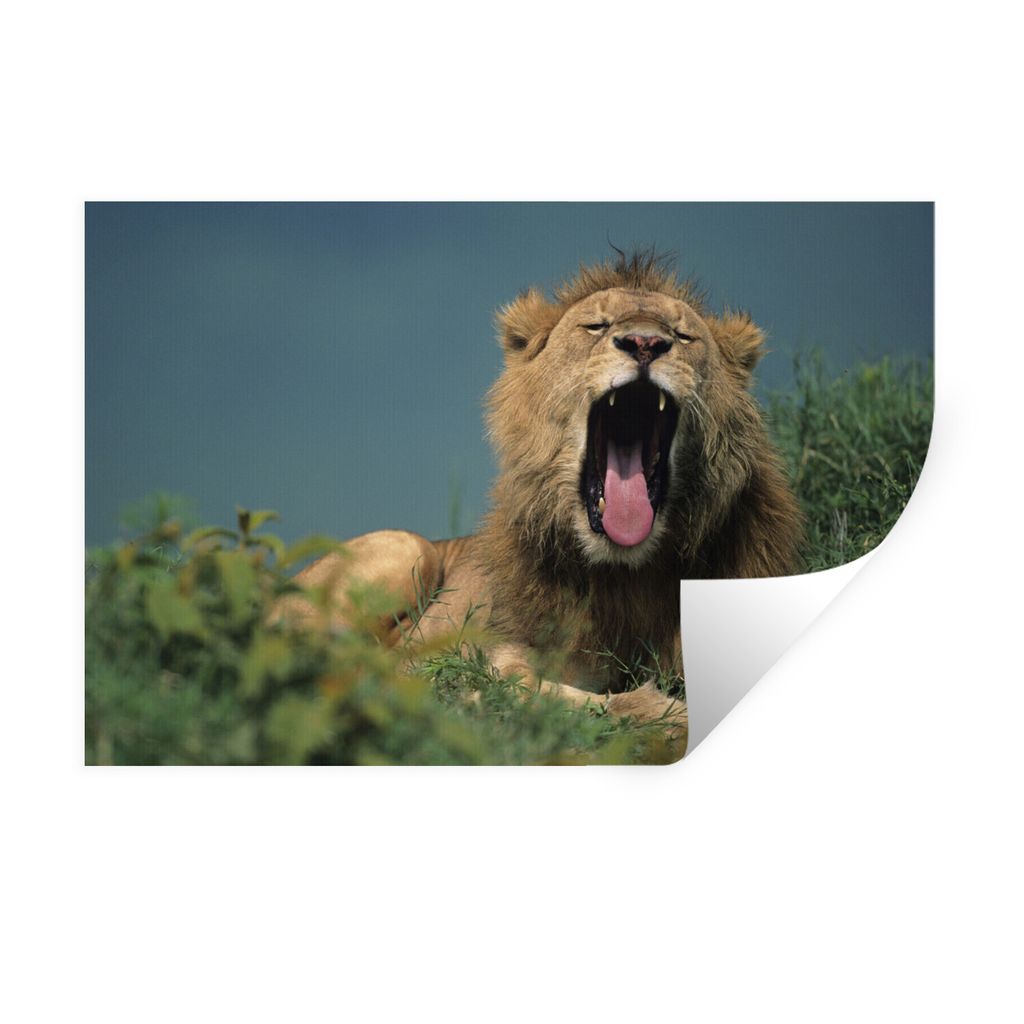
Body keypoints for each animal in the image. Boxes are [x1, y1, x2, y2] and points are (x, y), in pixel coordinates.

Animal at [276, 250, 804, 756]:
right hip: (407, 548)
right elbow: (520, 683)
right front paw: (661, 712)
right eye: (596, 326)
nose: (645, 343)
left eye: (683, 334)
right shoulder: (489, 650)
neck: (625, 574)